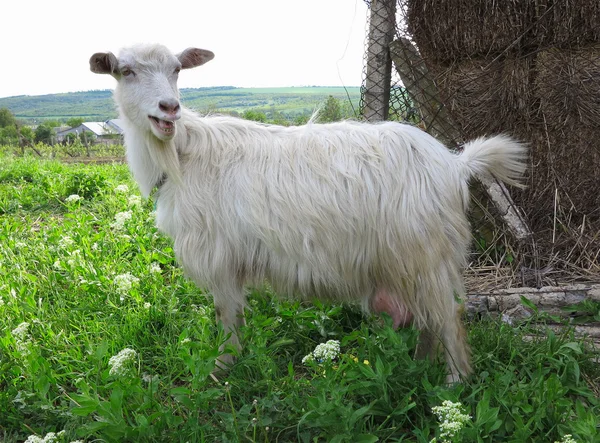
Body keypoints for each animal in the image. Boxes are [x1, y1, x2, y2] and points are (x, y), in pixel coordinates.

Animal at [89, 45, 524, 386]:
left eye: (177, 69)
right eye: (126, 71)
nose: (169, 108)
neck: (182, 154)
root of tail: (456, 164)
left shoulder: (218, 256)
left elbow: (226, 317)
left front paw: (221, 370)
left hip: (425, 254)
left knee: (448, 317)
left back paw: (453, 383)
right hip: (410, 260)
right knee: (430, 320)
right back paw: (419, 367)